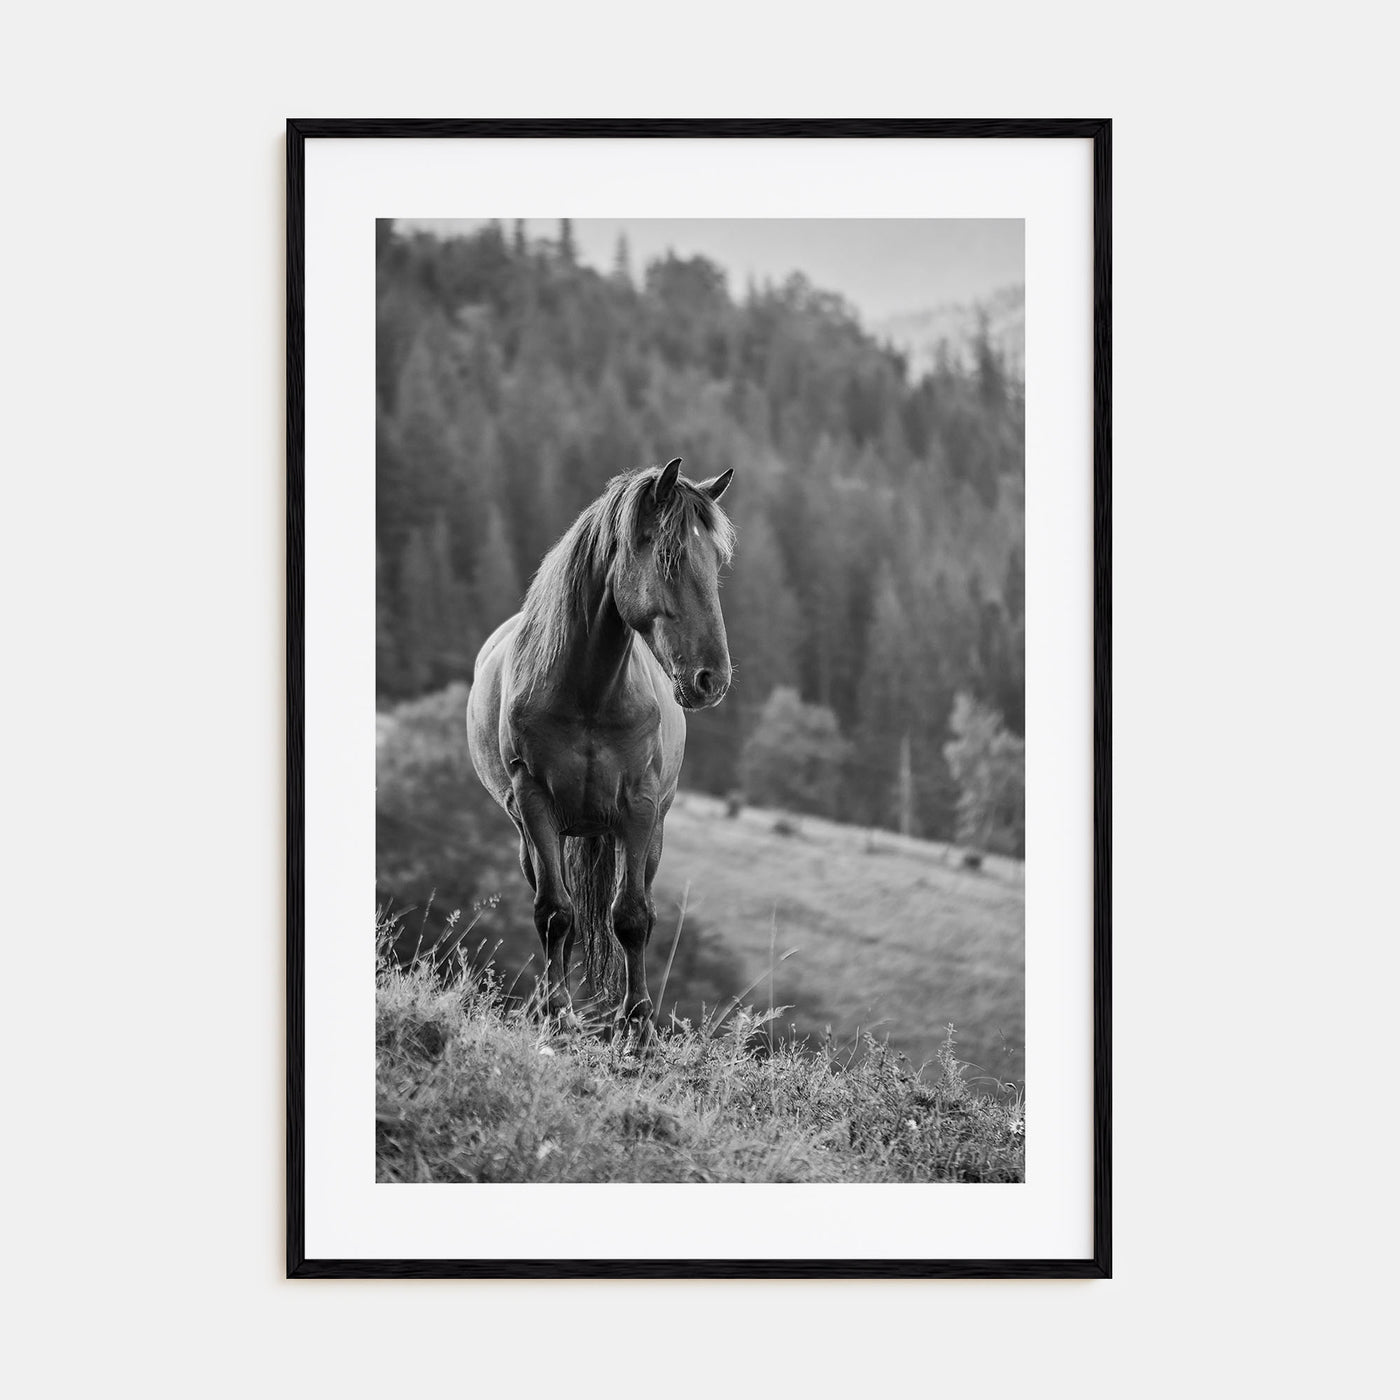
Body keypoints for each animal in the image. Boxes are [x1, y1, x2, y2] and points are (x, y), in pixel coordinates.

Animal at [465, 458, 736, 1049]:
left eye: (717, 562)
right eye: (670, 558)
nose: (712, 680)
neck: (587, 692)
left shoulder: (639, 808)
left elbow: (632, 917)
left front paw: (637, 1025)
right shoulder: (535, 801)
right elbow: (555, 913)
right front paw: (557, 1012)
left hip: (648, 832)